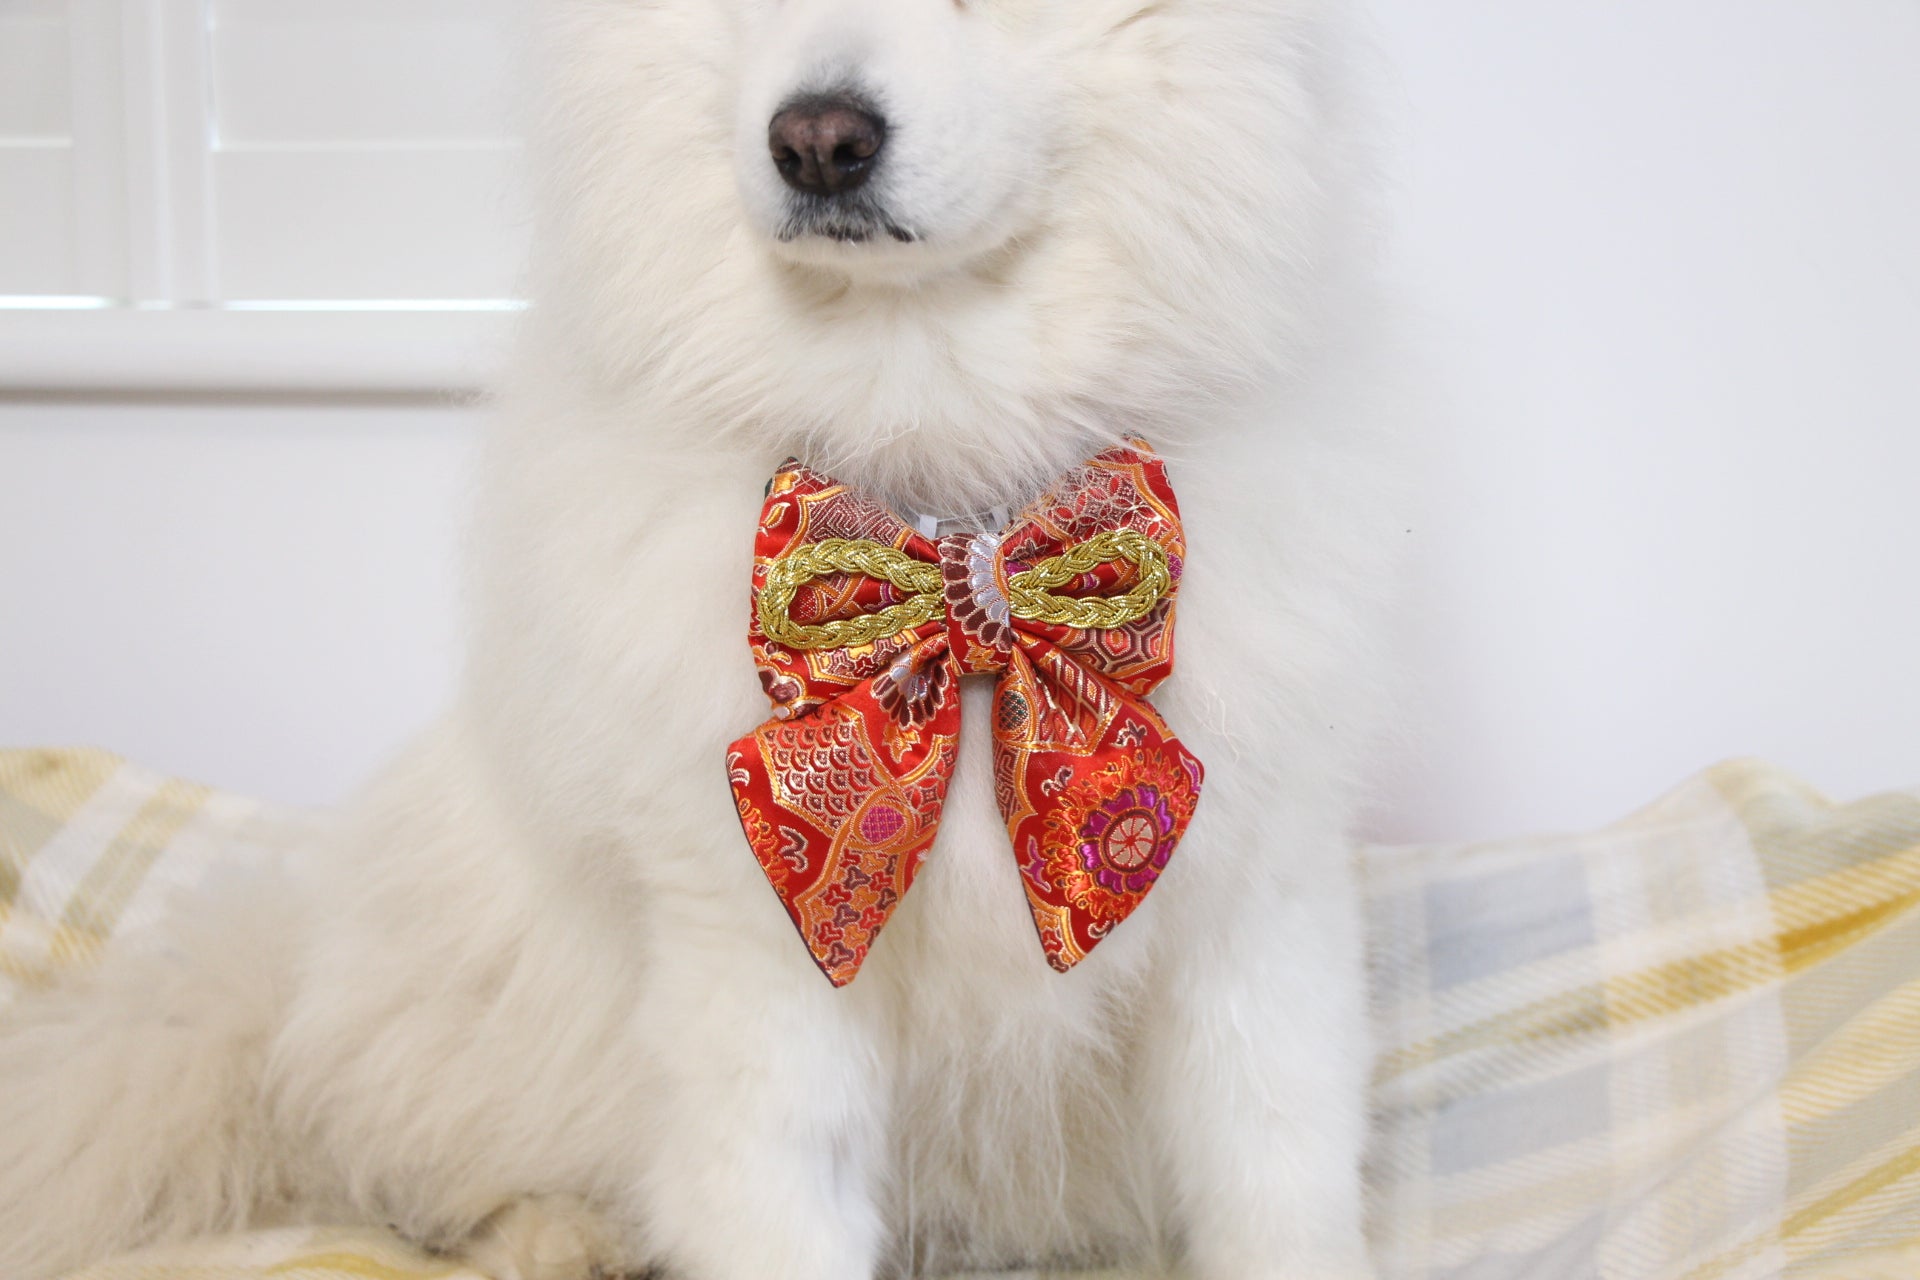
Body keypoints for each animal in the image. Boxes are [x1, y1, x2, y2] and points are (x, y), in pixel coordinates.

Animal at [0, 0, 1403, 1276]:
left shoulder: (1250, 905)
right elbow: (774, 1202)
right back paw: (556, 1235)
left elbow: (1277, 1179)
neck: (944, 485)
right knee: (415, 1165)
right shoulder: (755, 936)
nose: (819, 140)